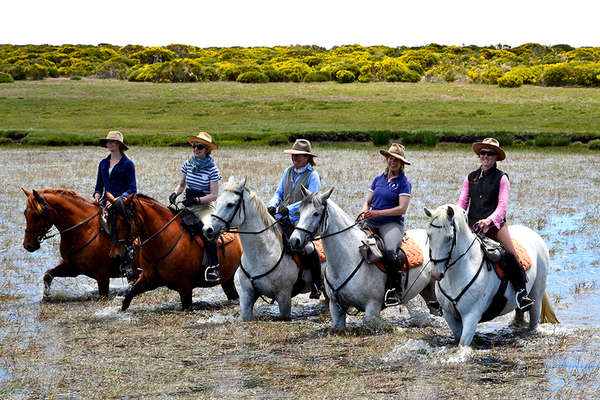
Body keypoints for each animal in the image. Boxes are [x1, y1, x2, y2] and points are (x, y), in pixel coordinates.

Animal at [108, 192, 241, 310]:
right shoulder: (148, 279)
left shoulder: (185, 287)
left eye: (124, 221)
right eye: (110, 220)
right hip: (227, 279)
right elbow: (128, 297)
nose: (115, 255)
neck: (164, 240)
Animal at [204, 178, 318, 322]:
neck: (263, 254)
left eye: (230, 204)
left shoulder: (284, 297)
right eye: (217, 201)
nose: (208, 229)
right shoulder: (247, 295)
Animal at [288, 189, 436, 330]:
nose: (294, 240)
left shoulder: (373, 306)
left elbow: (369, 322)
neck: (347, 260)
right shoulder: (336, 308)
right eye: (299, 211)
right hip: (428, 289)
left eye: (316, 213)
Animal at [426, 205, 556, 346]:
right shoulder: (449, 315)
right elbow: (458, 337)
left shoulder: (471, 316)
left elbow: (463, 344)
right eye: (429, 235)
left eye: (449, 238)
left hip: (536, 294)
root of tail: (532, 234)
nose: (436, 273)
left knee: (534, 319)